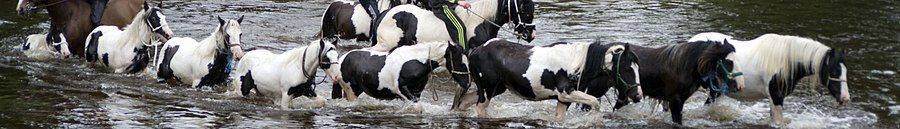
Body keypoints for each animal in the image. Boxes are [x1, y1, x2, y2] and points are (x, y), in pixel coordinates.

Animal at [330, 41, 472, 113]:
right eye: (459, 61)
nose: (468, 83)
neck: (414, 61)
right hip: (351, 91)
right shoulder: (402, 89)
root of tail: (342, 59)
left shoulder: (416, 92)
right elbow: (418, 108)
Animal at [454, 38, 644, 120]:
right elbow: (595, 103)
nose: (637, 95)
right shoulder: (566, 93)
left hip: (494, 88)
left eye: (638, 68)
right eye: (627, 69)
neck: (577, 63)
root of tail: (475, 50)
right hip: (487, 90)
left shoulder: (563, 99)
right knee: (480, 109)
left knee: (464, 102)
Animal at [688, 32, 852, 126]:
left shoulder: (774, 98)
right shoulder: (776, 96)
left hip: (715, 91)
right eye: (834, 71)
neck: (785, 60)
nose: (845, 98)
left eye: (845, 71)